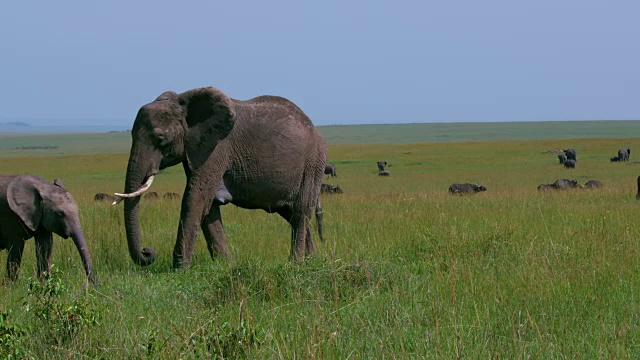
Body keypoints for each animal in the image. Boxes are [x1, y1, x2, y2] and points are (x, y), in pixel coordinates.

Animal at [112, 86, 328, 268]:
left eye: (160, 139)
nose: (148, 252)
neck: (185, 102)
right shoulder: (198, 148)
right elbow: (208, 204)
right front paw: (225, 265)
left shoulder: (217, 148)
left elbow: (195, 198)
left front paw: (180, 268)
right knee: (290, 213)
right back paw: (311, 260)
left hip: (312, 164)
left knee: (300, 211)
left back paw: (295, 263)